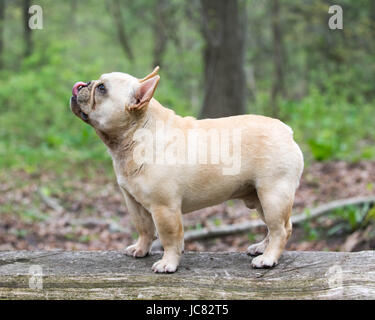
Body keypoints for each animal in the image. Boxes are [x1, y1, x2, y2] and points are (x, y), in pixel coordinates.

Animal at [71, 67, 306, 272]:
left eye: (102, 88)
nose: (84, 84)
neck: (137, 133)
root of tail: (287, 131)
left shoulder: (164, 208)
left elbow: (169, 237)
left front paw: (168, 263)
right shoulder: (134, 203)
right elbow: (144, 229)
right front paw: (141, 249)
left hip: (272, 195)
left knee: (280, 229)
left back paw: (267, 258)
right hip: (258, 198)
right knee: (276, 226)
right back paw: (261, 248)